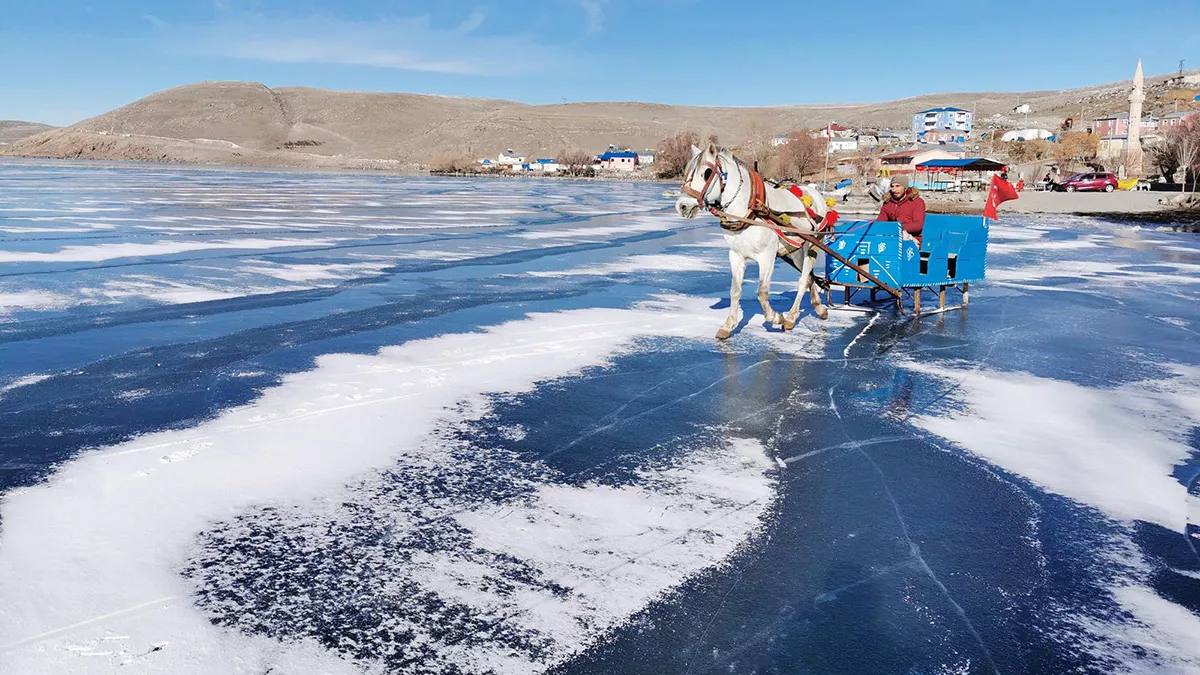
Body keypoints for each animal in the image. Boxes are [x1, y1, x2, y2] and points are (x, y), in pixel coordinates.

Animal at [672, 144, 830, 338]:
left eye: (707, 173)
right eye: (686, 172)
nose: (682, 206)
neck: (750, 211)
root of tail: (815, 193)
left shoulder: (767, 257)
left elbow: (762, 293)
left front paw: (777, 318)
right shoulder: (736, 255)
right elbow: (735, 291)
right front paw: (728, 326)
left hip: (812, 245)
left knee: (803, 279)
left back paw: (791, 318)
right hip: (796, 249)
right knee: (809, 278)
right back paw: (819, 308)